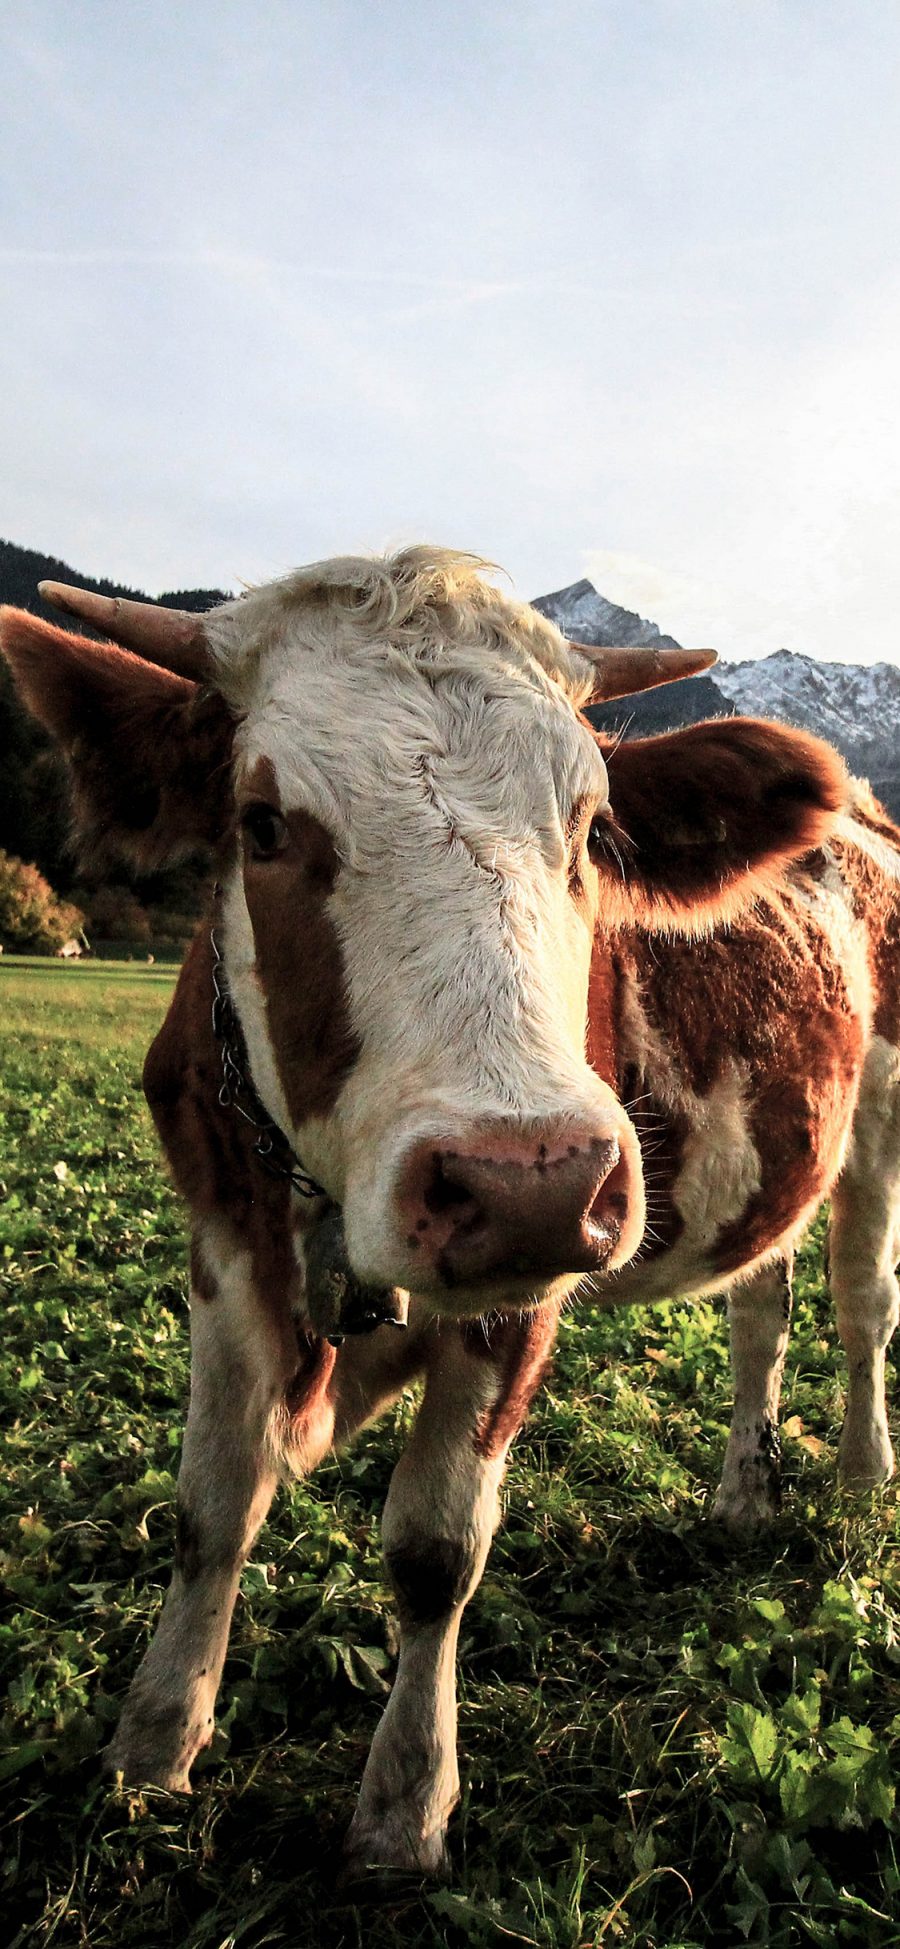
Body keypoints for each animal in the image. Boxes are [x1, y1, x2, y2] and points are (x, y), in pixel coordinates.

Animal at [3, 541, 896, 1878]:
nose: (526, 1178)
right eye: (264, 823)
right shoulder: (222, 1238)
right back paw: (746, 1489)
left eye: (594, 828)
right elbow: (210, 1505)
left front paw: (404, 1802)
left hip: (880, 1113)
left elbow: (435, 1549)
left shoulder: (525, 1280)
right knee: (761, 1304)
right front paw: (153, 1742)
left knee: (862, 1308)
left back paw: (858, 1476)